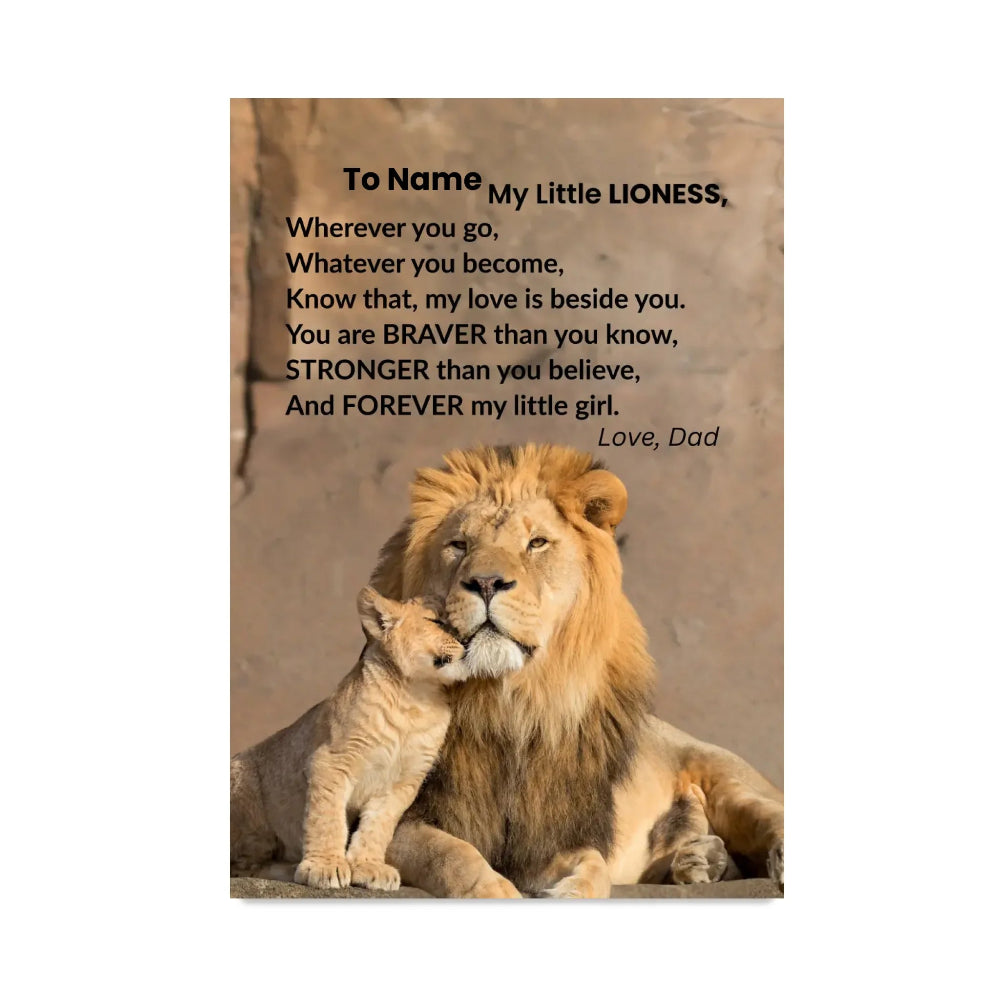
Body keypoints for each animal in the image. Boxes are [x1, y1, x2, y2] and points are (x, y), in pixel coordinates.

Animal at [230, 588, 468, 891]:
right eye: (436, 622)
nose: (468, 640)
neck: (417, 698)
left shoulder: (403, 782)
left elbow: (378, 826)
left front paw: (369, 867)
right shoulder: (331, 761)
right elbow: (327, 819)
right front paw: (325, 866)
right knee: (243, 865)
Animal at [368, 443, 783, 898]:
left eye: (536, 543)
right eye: (458, 545)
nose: (486, 583)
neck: (509, 703)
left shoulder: (555, 834)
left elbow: (594, 866)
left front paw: (571, 891)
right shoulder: (403, 819)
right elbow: (454, 855)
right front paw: (496, 889)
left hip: (728, 778)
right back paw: (698, 862)